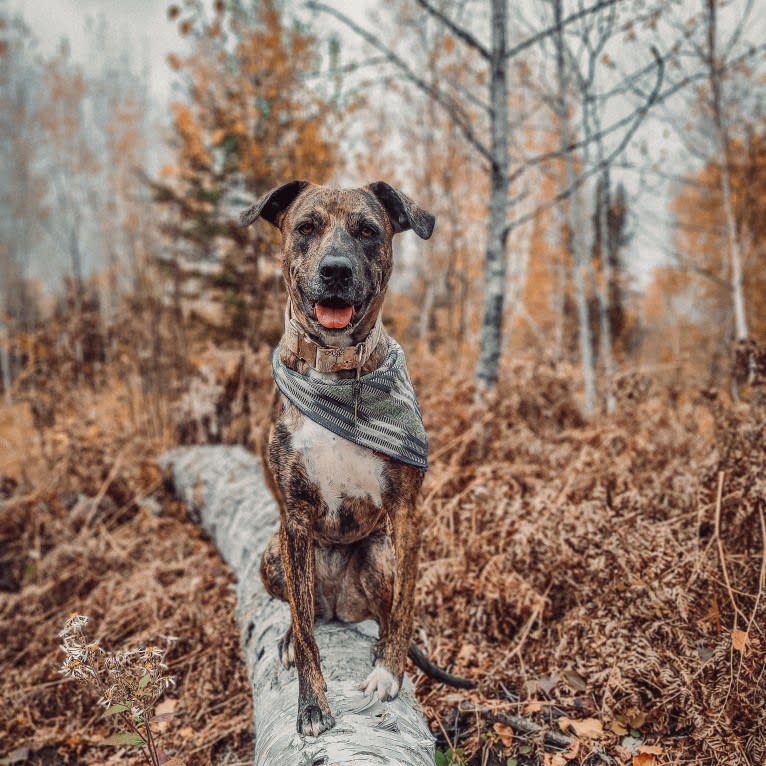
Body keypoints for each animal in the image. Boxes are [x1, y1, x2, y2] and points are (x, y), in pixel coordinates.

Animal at [240, 180, 468, 736]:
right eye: (306, 227)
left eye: (367, 231)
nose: (336, 270)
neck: (335, 367)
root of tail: (341, 608)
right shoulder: (294, 519)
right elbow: (305, 634)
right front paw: (312, 705)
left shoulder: (407, 514)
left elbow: (406, 606)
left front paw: (389, 673)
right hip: (272, 557)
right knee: (305, 612)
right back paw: (288, 636)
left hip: (378, 554)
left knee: (384, 614)